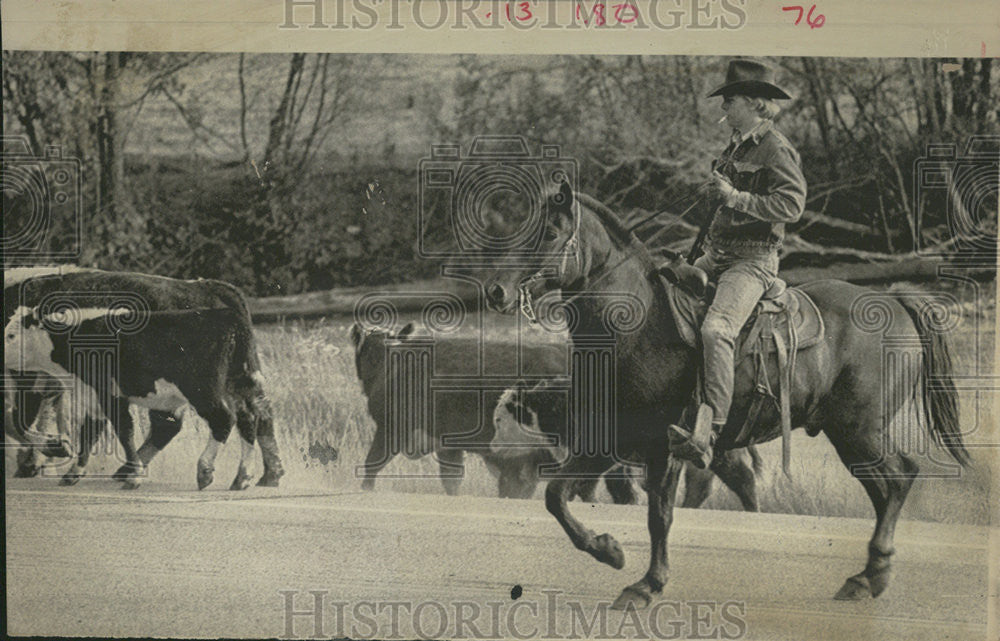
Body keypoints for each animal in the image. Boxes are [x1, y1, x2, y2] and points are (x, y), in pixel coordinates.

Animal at [5, 268, 284, 488]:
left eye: (10, 335)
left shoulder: (107, 395)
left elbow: (122, 431)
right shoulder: (92, 396)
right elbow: (90, 433)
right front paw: (71, 472)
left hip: (202, 391)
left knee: (221, 419)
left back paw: (203, 472)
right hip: (241, 381)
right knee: (253, 415)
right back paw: (253, 477)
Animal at [484, 181, 968, 608]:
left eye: (549, 233)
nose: (495, 290)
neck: (637, 326)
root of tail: (896, 300)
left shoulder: (663, 446)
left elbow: (659, 515)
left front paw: (645, 586)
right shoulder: (607, 441)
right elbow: (557, 497)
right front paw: (611, 551)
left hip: (859, 431)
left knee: (899, 478)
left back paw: (871, 576)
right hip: (851, 435)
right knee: (887, 487)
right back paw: (866, 577)